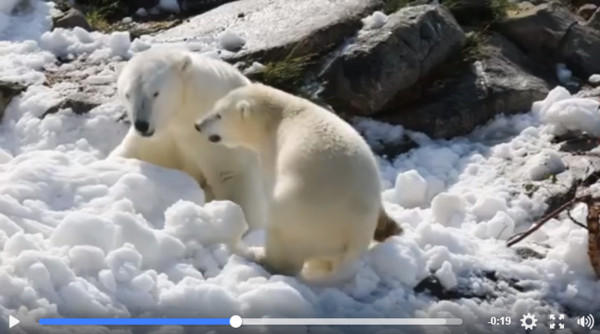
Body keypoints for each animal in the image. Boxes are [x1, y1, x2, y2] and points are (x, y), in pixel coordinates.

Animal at [108, 47, 268, 231]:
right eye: (127, 94)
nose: (142, 125)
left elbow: (232, 175)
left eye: (155, 93)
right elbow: (132, 153)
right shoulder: (162, 138)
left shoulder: (219, 134)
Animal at [195, 82, 400, 278]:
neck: (282, 114)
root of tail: (351, 235)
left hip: (300, 215)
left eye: (219, 115)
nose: (198, 125)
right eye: (214, 107)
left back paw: (259, 256)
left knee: (283, 240)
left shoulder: (273, 152)